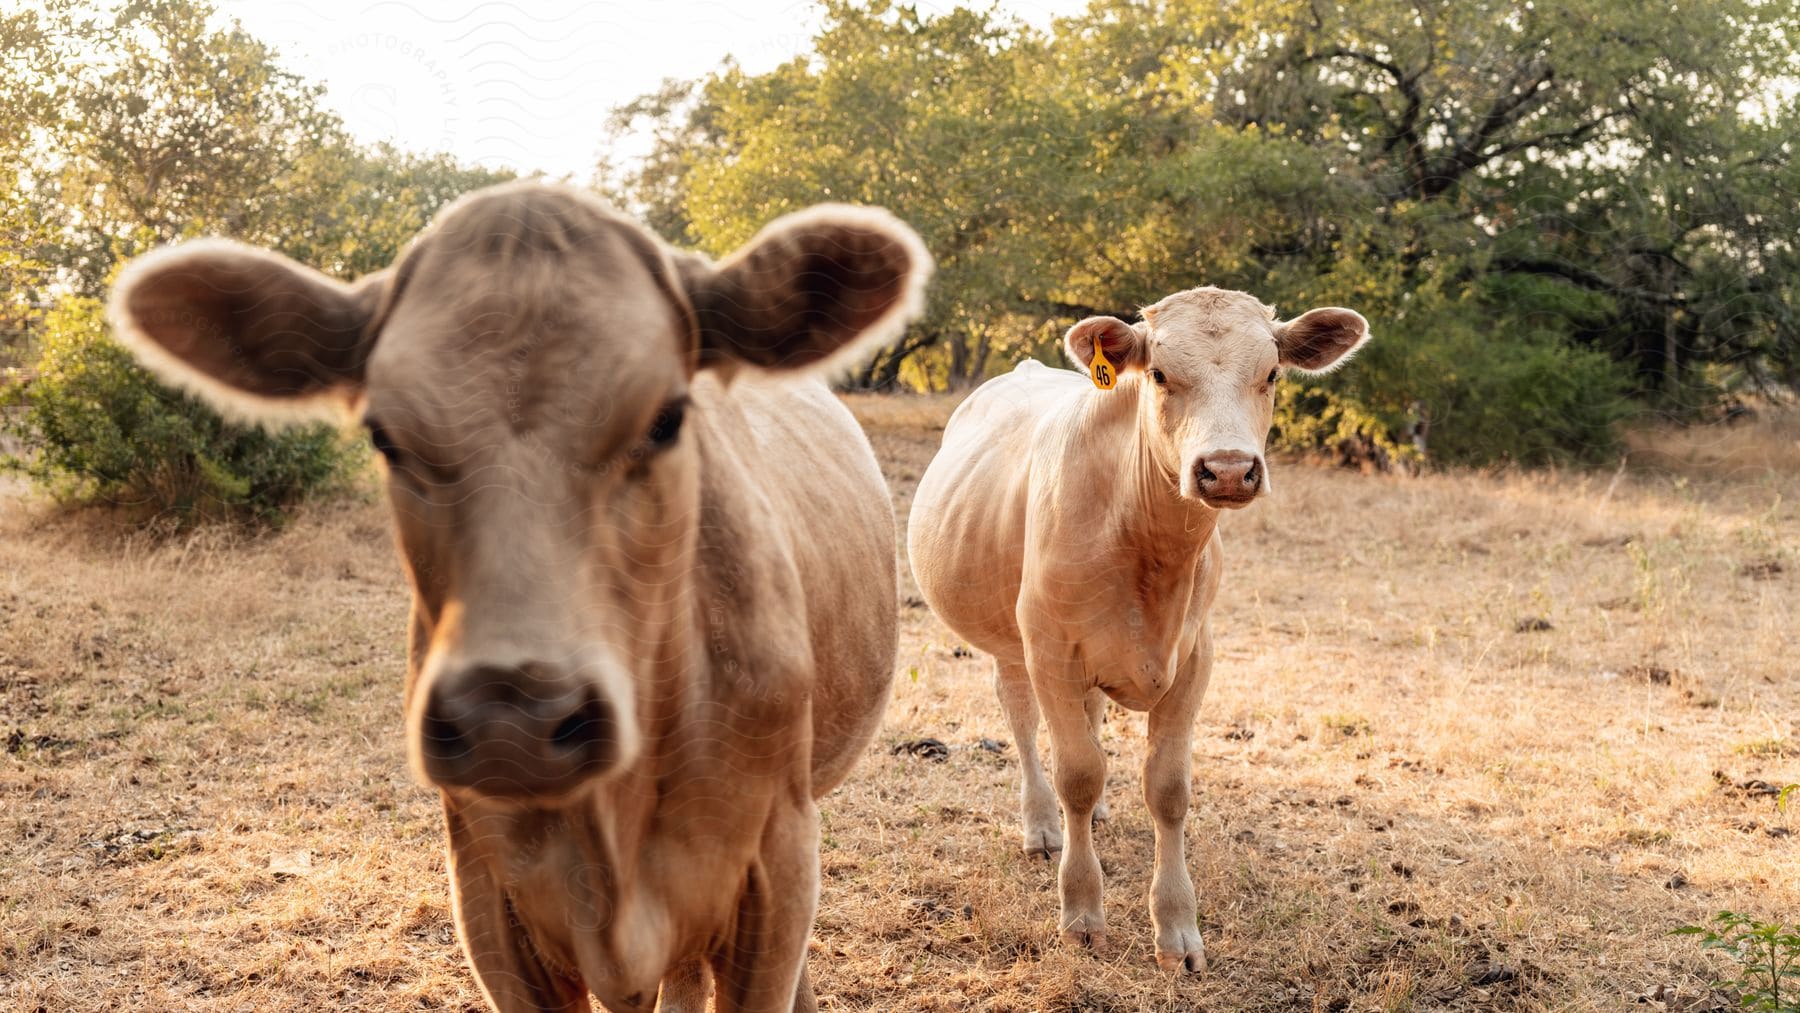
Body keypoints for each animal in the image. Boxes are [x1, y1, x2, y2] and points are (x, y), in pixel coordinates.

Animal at [907, 286, 1353, 971]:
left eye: (1272, 373)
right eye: (1161, 375)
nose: (1228, 469)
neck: (1149, 545)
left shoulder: (1194, 658)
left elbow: (1167, 790)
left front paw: (1177, 930)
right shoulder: (1051, 651)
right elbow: (1076, 774)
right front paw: (1082, 913)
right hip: (1011, 638)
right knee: (1022, 720)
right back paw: (1043, 825)